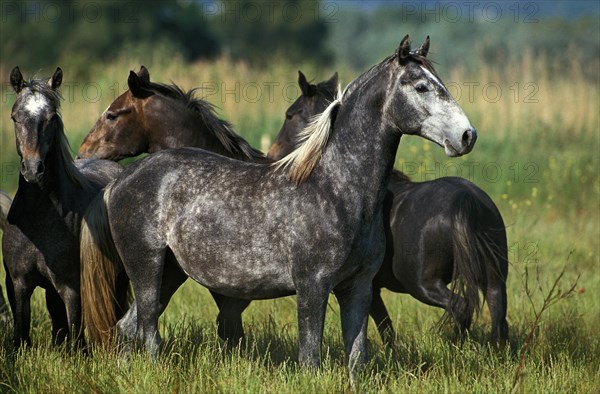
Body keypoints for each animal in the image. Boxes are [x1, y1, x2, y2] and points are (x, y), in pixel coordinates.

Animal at [1, 67, 124, 348]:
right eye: (15, 117)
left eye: (51, 118)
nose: (33, 169)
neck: (39, 220)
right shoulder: (18, 285)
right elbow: (21, 335)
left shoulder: (71, 288)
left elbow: (76, 340)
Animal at [78, 35, 474, 380]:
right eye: (420, 87)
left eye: (438, 83)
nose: (467, 136)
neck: (336, 189)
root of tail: (120, 181)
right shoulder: (313, 286)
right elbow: (310, 358)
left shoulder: (359, 288)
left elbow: (357, 358)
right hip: (146, 268)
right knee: (148, 332)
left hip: (170, 273)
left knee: (127, 328)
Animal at [270, 71, 508, 344]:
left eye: (290, 114)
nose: (271, 153)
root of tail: (466, 202)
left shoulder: (365, 285)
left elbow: (383, 326)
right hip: (495, 279)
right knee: (499, 318)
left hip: (425, 285)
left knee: (461, 308)